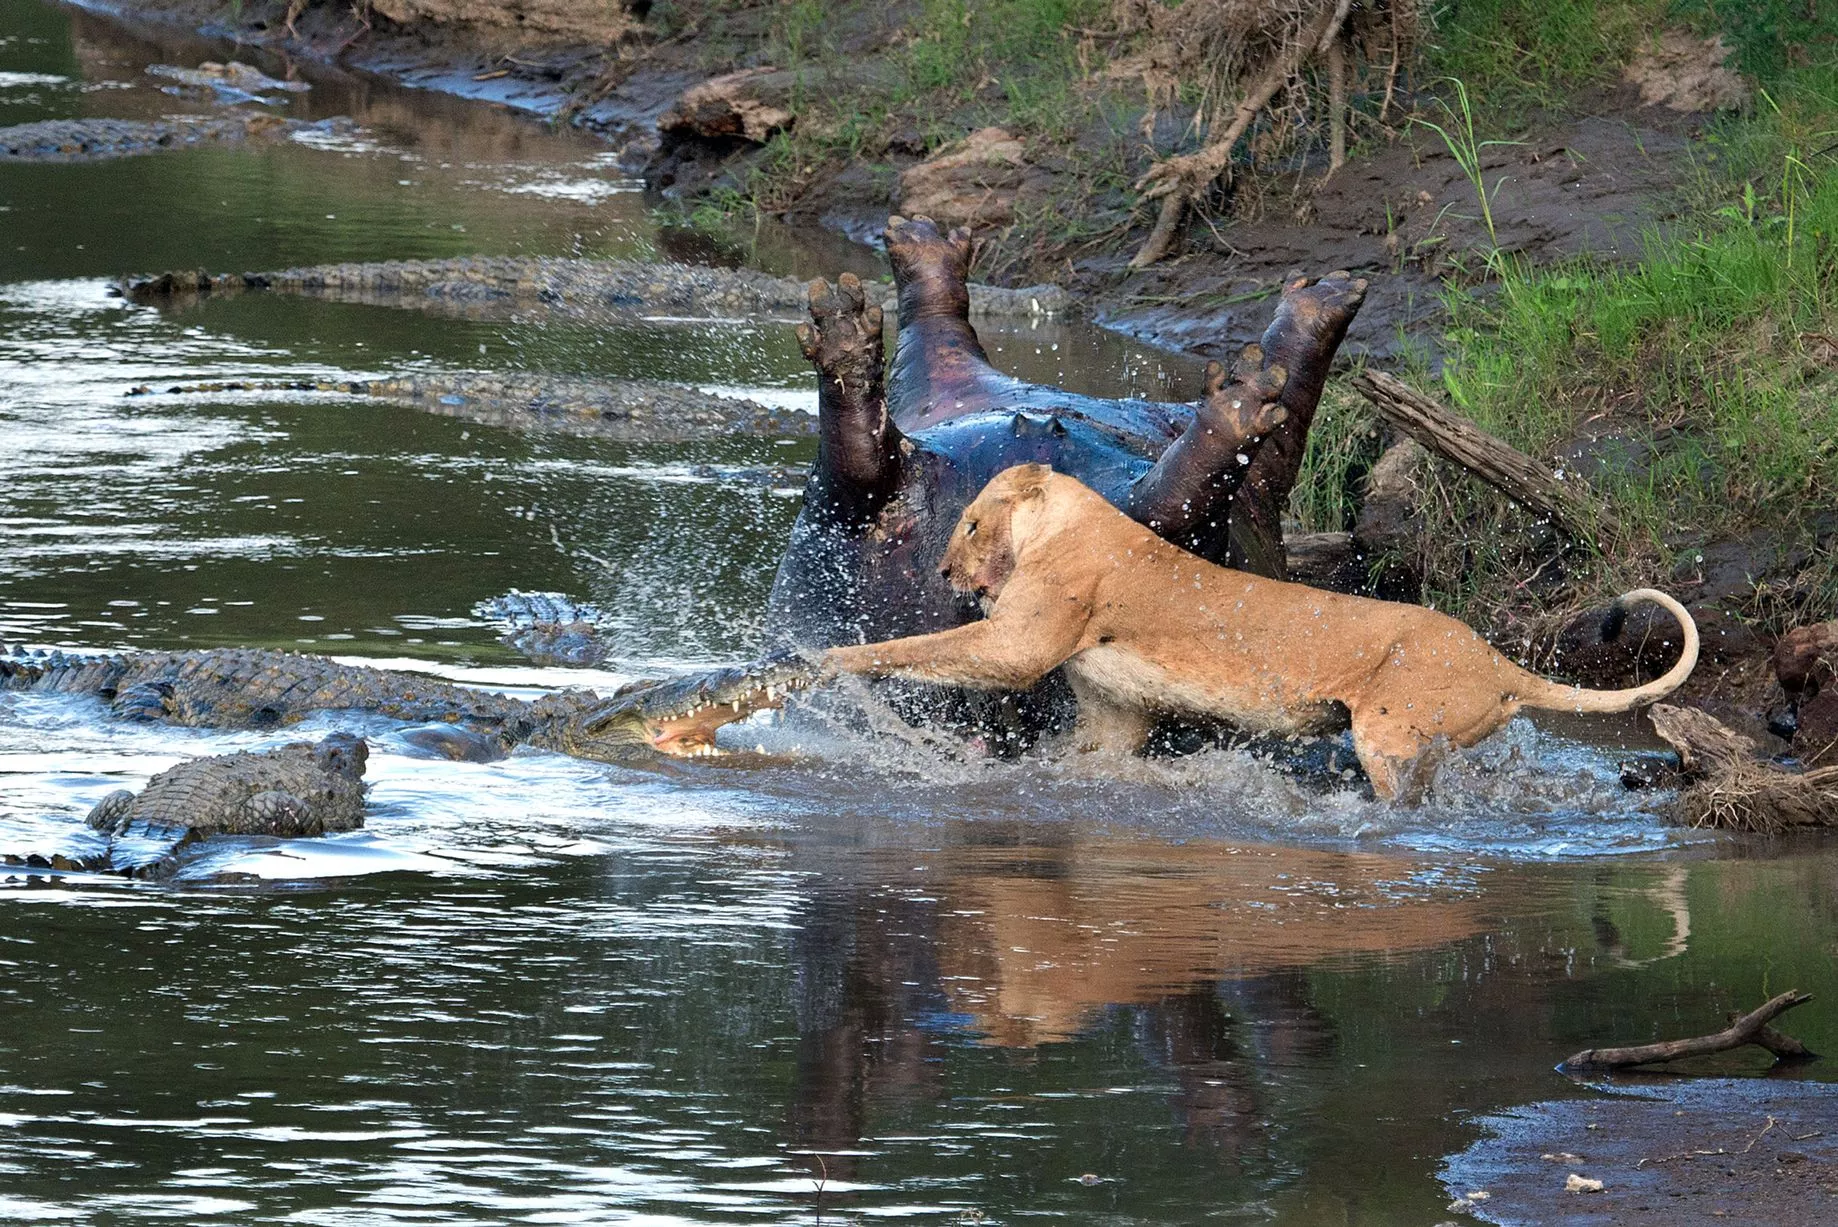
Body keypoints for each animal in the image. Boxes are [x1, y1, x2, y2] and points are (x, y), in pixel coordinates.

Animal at [822, 463, 1699, 801]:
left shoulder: (1020, 645)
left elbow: (911, 652)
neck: (1067, 519)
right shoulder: (1112, 719)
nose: (942, 573)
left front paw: (822, 661)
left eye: (970, 523)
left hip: (1388, 733)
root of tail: (1497, 659)